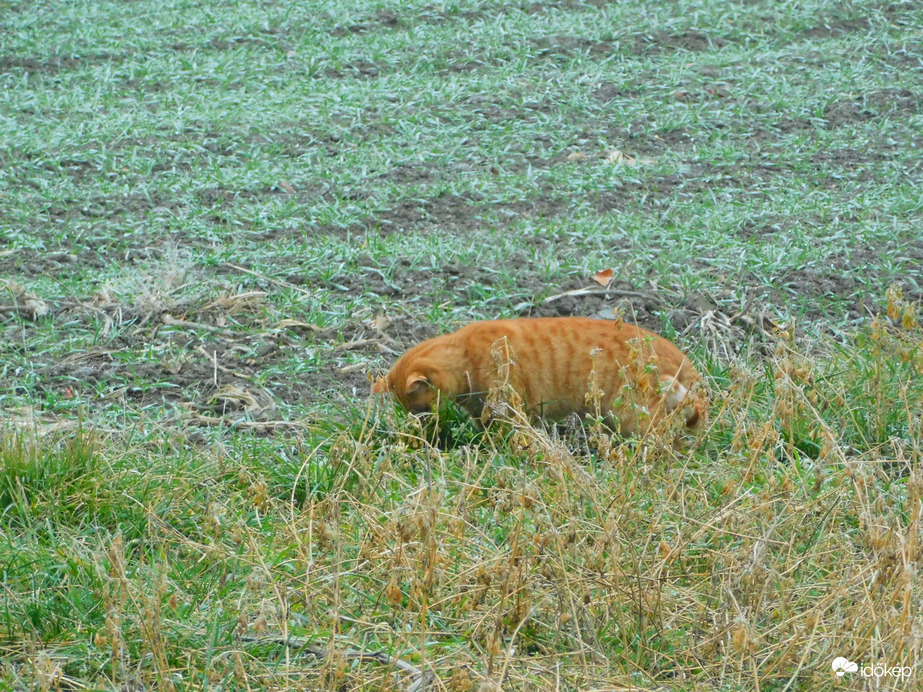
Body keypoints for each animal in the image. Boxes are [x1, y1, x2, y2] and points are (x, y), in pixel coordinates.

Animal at [376, 318, 708, 436]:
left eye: (421, 409)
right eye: (410, 412)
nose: (421, 424)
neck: (465, 356)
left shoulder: (510, 408)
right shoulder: (484, 413)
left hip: (632, 414)